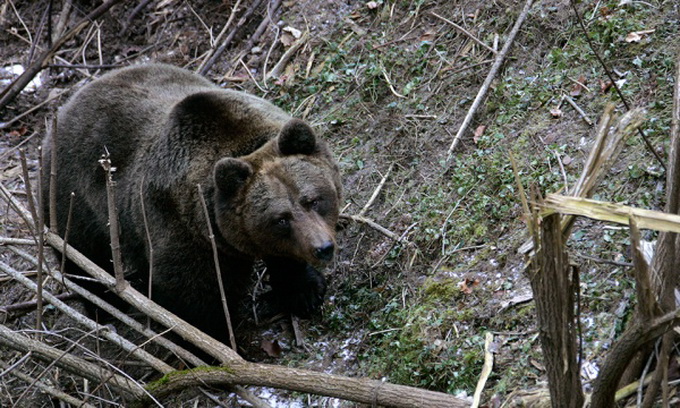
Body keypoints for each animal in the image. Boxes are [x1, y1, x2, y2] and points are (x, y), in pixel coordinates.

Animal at [41, 63, 340, 344]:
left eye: (313, 200)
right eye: (281, 219)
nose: (323, 248)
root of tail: (68, 104)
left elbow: (284, 259)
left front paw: (305, 291)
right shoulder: (184, 231)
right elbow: (194, 297)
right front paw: (212, 343)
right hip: (74, 198)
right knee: (82, 256)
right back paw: (105, 305)